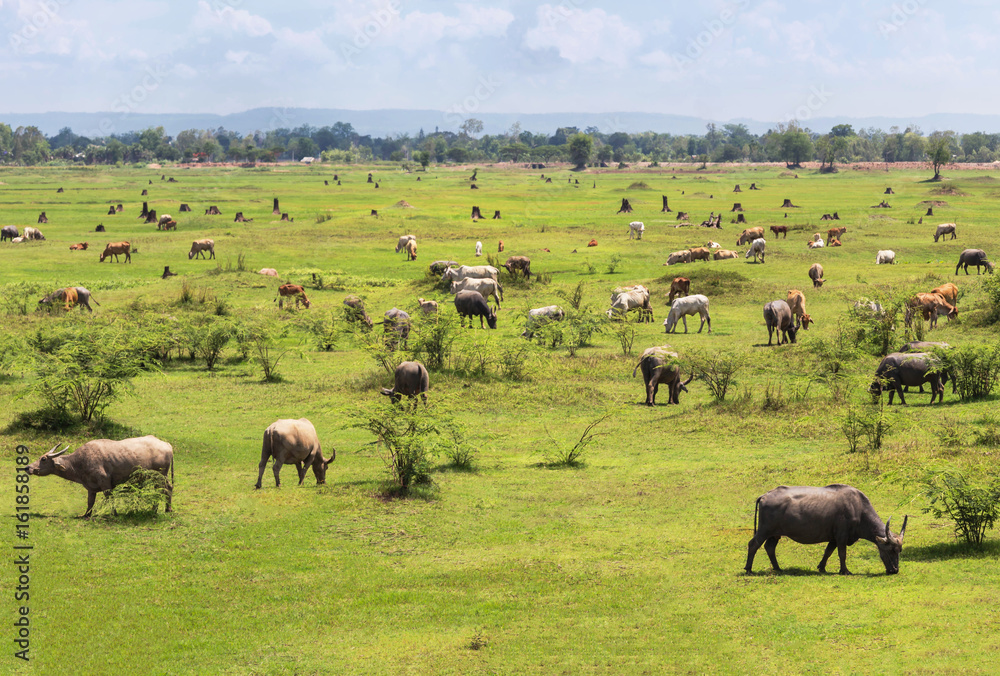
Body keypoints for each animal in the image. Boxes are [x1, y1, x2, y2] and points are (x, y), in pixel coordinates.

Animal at [27, 436, 175, 516]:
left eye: (43, 459)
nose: (28, 467)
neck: (79, 462)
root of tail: (167, 445)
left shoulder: (105, 482)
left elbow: (109, 498)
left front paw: (114, 513)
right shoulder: (90, 487)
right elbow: (90, 502)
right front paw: (86, 515)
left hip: (160, 475)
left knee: (163, 489)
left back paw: (163, 509)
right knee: (165, 488)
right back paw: (161, 509)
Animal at [744, 486, 908, 576]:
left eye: (900, 550)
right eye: (891, 550)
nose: (895, 570)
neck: (858, 508)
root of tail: (764, 496)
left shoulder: (834, 538)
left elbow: (828, 551)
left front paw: (821, 567)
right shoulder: (841, 536)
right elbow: (842, 554)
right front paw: (845, 571)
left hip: (775, 534)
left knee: (769, 547)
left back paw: (778, 568)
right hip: (764, 530)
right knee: (753, 544)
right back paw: (749, 569)